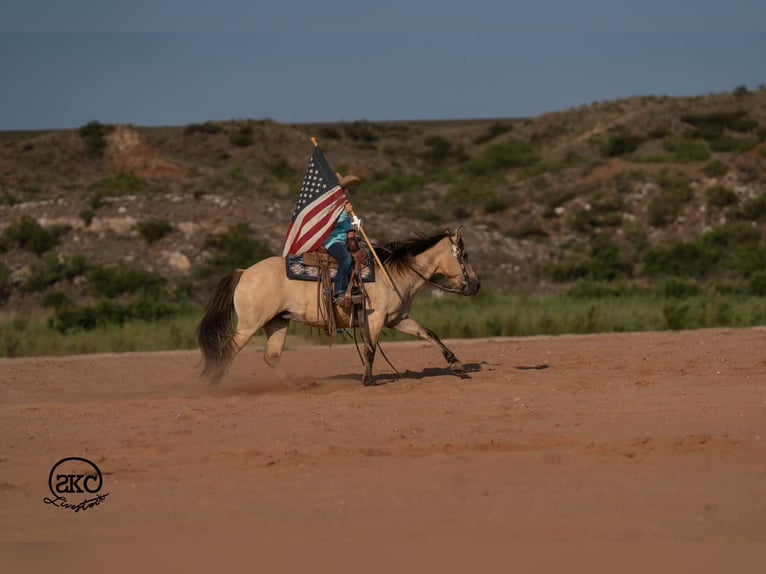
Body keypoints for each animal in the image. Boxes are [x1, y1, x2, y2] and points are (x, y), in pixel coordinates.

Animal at [196, 226, 480, 386]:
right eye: (465, 255)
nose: (476, 285)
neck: (392, 273)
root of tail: (244, 272)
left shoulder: (397, 319)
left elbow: (430, 334)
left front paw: (457, 365)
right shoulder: (375, 319)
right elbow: (369, 349)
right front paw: (367, 380)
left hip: (276, 323)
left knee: (271, 357)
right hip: (249, 325)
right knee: (228, 350)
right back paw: (214, 384)